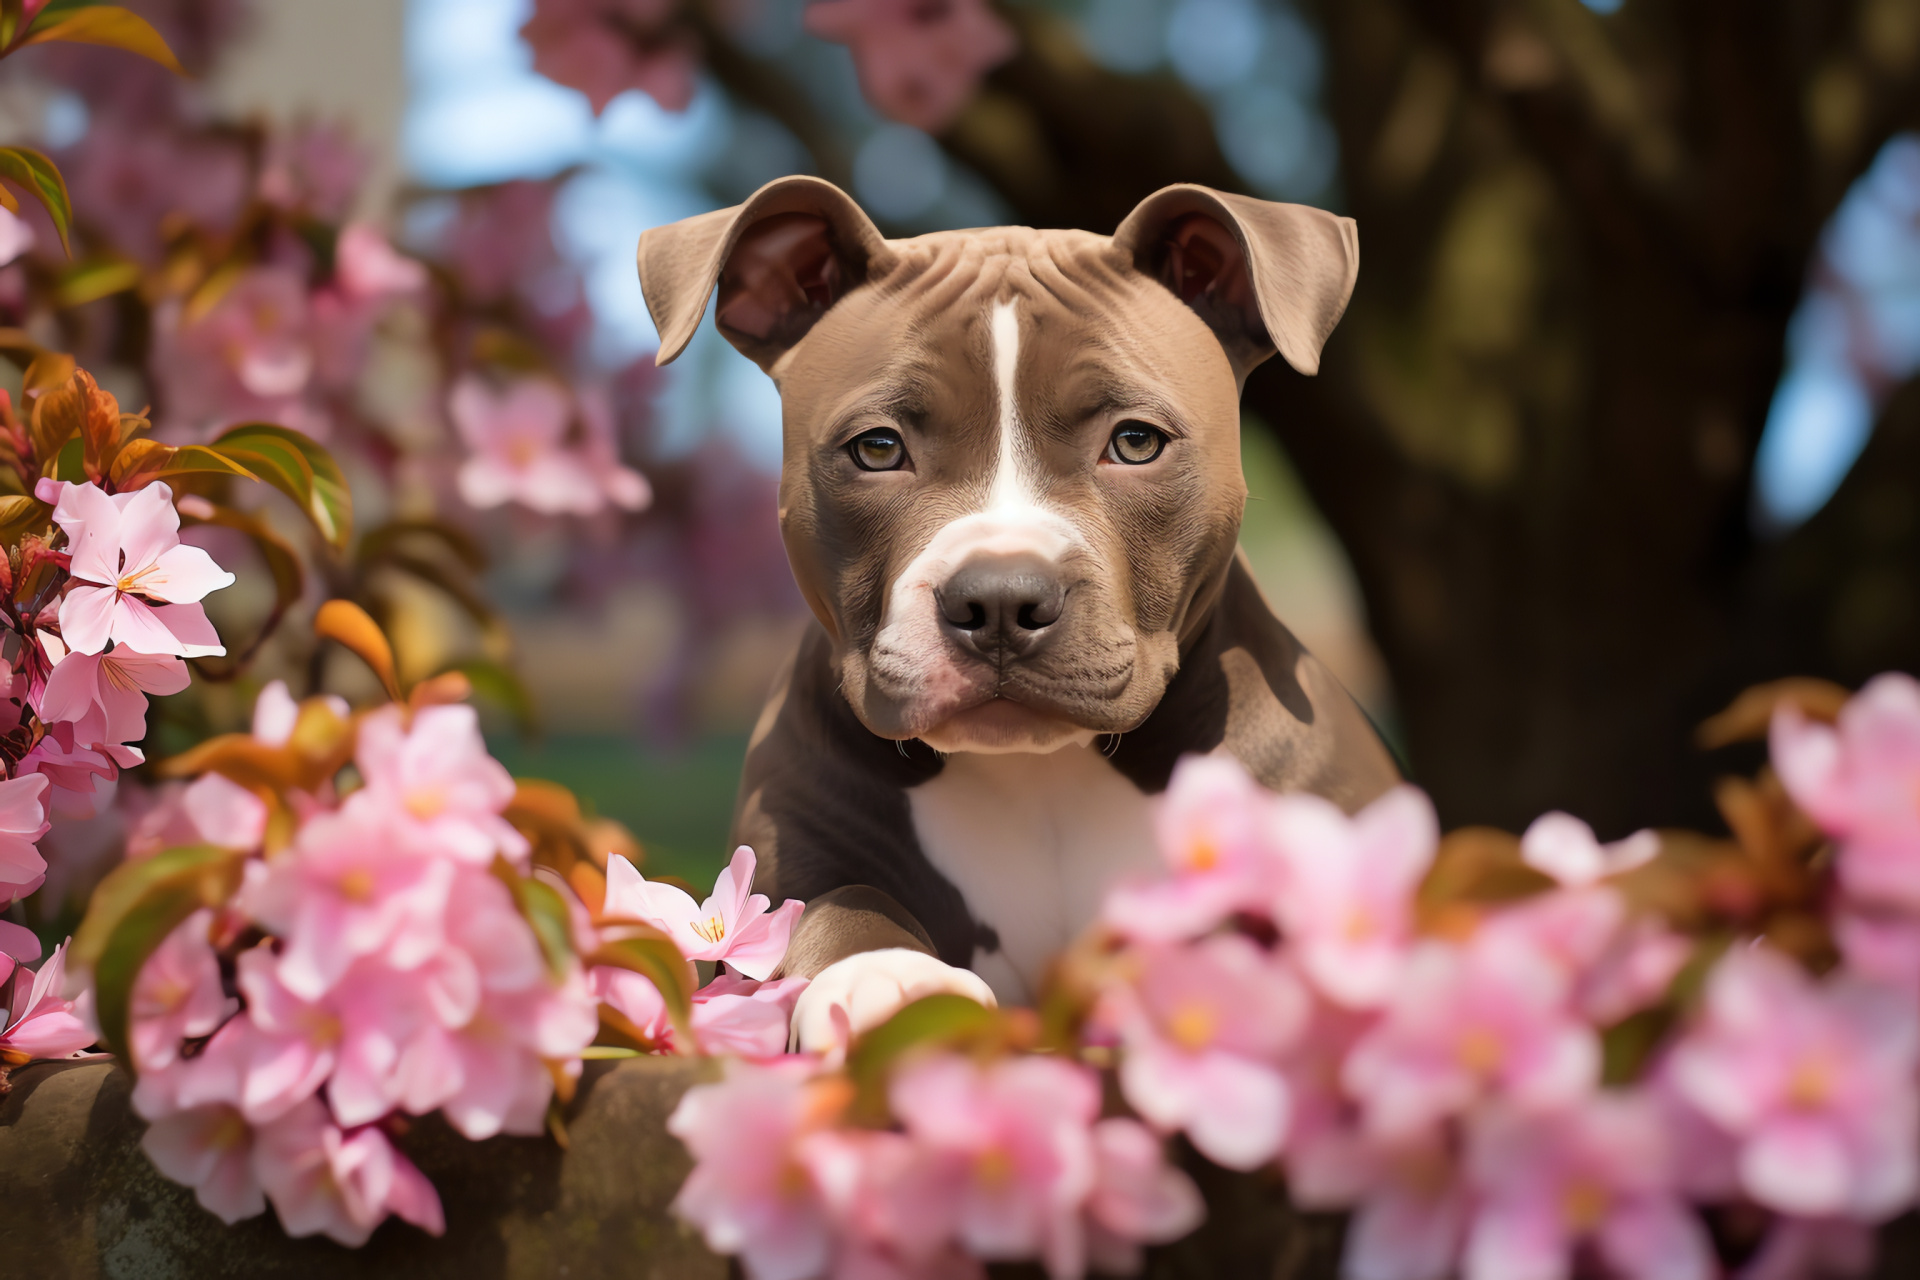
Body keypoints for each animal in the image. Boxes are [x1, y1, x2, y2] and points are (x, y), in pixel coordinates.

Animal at [637, 175, 1405, 1051]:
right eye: (877, 448)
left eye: (1135, 442)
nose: (1000, 599)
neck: (1041, 770)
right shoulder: (789, 846)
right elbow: (838, 905)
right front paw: (891, 979)